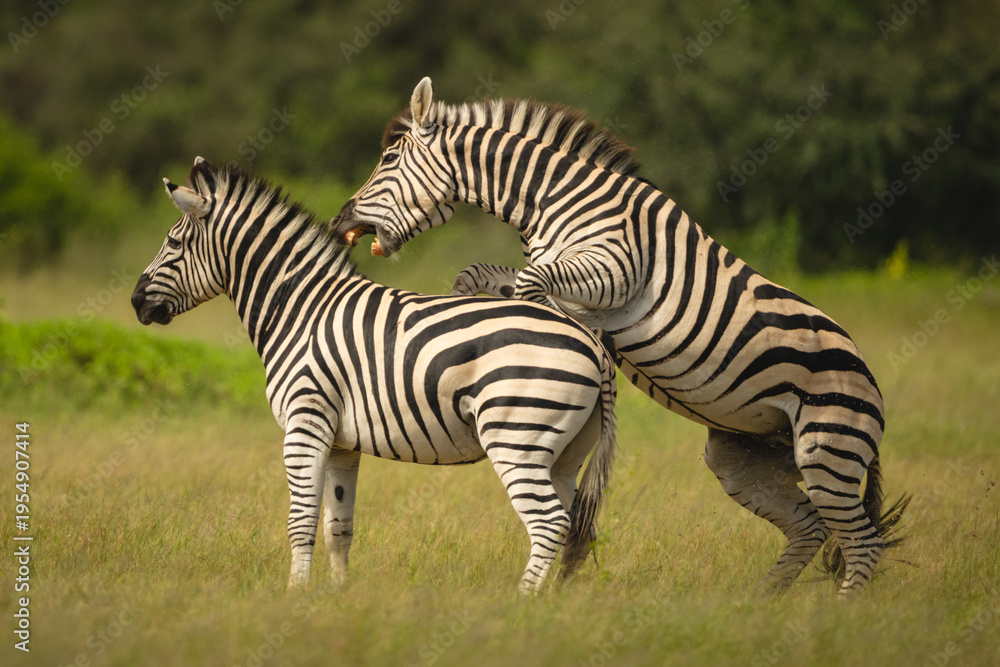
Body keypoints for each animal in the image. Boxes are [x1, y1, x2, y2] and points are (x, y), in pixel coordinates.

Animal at [130, 158, 617, 594]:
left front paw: (294, 595)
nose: (136, 302)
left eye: (173, 243)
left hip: (516, 435)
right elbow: (338, 528)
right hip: (565, 453)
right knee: (577, 527)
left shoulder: (305, 423)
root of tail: (591, 342)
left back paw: (522, 603)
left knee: (549, 523)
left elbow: (300, 522)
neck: (301, 309)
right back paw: (556, 605)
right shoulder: (342, 443)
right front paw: (336, 596)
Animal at [331, 77, 909, 596]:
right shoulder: (549, 267)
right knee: (811, 528)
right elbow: (475, 276)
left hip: (827, 447)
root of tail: (867, 371)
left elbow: (530, 284)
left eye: (388, 160)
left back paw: (838, 615)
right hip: (747, 456)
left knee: (862, 542)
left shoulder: (615, 269)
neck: (552, 198)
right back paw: (764, 605)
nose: (340, 223)